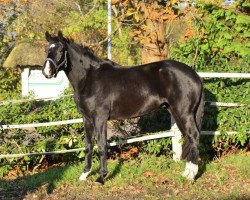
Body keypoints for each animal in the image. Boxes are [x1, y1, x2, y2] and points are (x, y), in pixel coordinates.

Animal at [42, 31, 203, 184]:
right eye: (46, 49)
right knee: (188, 137)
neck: (89, 77)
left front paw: (101, 177)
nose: (47, 71)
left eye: (61, 49)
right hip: (176, 112)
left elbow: (102, 146)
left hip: (184, 113)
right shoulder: (86, 118)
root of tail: (194, 75)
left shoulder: (100, 118)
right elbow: (88, 145)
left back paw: (191, 175)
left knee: (193, 136)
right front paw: (84, 175)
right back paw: (187, 172)